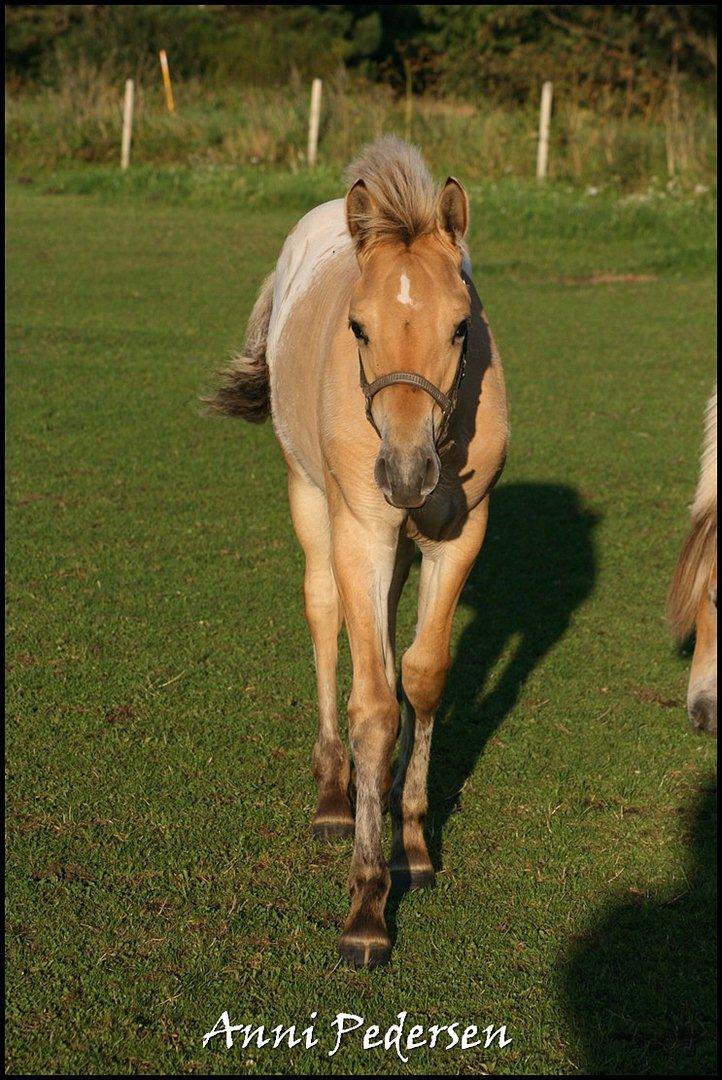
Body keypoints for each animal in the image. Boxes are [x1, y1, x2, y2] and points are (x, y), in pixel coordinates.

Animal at [203, 137, 507, 972]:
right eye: (359, 328)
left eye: (461, 328)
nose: (404, 472)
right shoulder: (363, 531)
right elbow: (373, 707)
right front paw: (367, 905)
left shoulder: (460, 532)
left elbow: (424, 678)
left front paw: (414, 845)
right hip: (315, 502)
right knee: (325, 617)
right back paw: (335, 796)